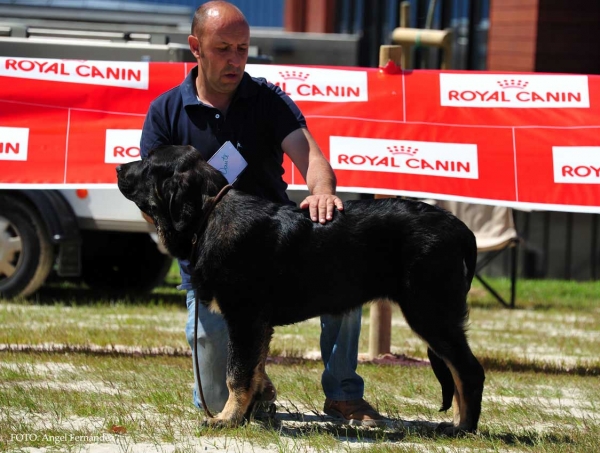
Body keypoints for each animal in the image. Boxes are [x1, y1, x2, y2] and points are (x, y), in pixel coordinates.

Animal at [116, 145, 482, 434]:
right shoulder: (258, 325)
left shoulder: (244, 317)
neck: (208, 215)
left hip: (429, 311)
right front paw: (249, 413)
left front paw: (226, 419)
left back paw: (463, 428)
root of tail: (461, 229)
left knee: (468, 369)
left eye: (148, 161)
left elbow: (237, 373)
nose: (118, 167)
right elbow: (254, 370)